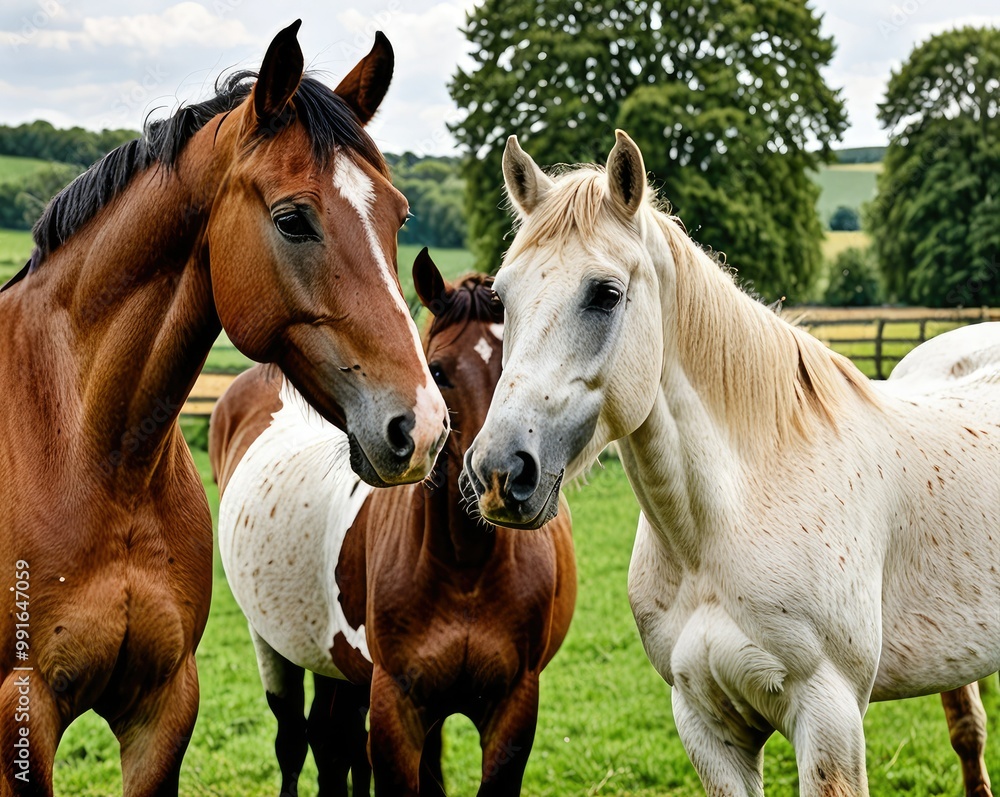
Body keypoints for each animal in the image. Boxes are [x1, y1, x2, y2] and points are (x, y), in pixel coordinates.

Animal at [0, 23, 448, 796]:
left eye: (398, 215)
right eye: (292, 219)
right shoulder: (20, 714)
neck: (87, 456)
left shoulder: (164, 705)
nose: (420, 427)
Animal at [210, 249, 576, 797]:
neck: (466, 569)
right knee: (296, 740)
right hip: (274, 644)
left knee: (331, 742)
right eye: (439, 370)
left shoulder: (512, 709)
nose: (501, 478)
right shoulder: (395, 708)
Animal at [461, 130, 1000, 796]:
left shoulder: (830, 718)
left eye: (605, 294)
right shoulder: (705, 723)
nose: (500, 471)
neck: (730, 519)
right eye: (503, 296)